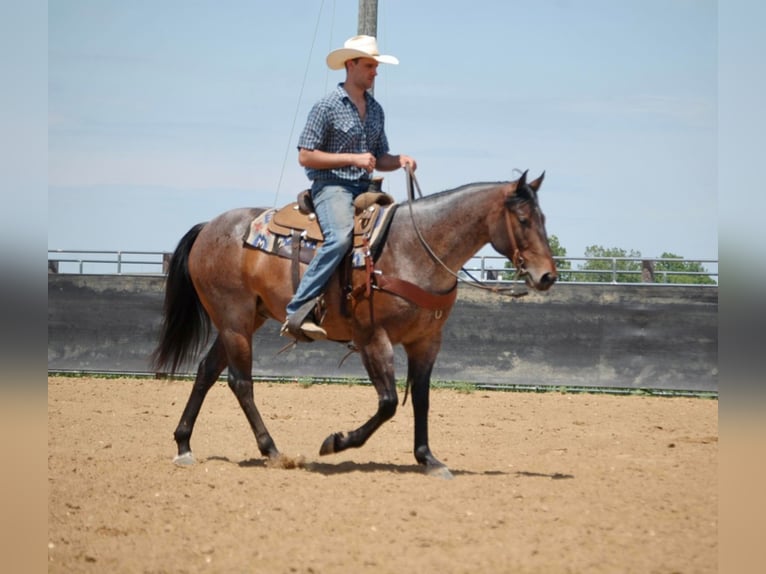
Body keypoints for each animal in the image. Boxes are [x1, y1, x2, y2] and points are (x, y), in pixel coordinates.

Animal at [152, 171, 560, 482]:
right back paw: (273, 451)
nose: (548, 277)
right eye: (524, 220)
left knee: (206, 371)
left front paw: (429, 459)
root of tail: (209, 227)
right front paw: (335, 442)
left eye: (544, 220)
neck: (412, 248)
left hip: (246, 319)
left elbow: (421, 399)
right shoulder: (371, 338)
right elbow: (389, 402)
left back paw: (184, 445)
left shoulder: (427, 341)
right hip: (234, 319)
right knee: (240, 382)